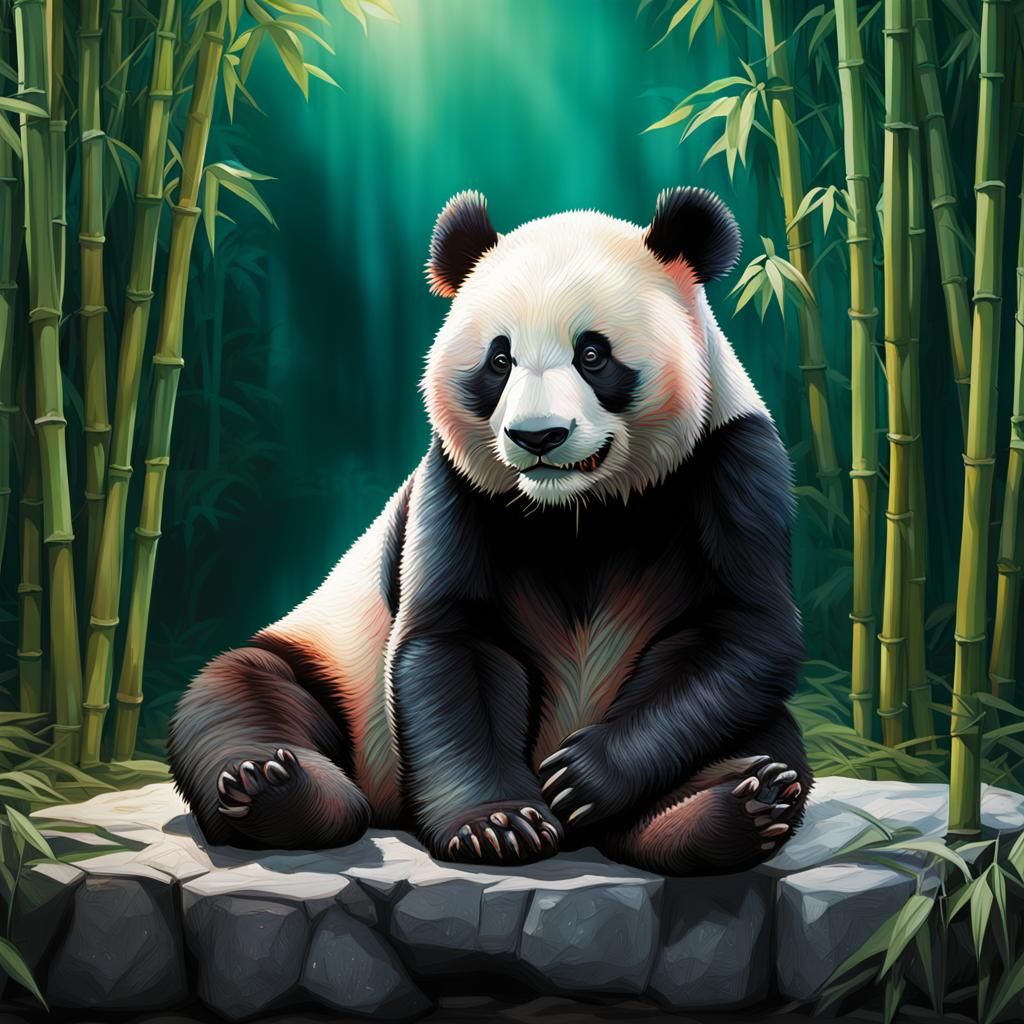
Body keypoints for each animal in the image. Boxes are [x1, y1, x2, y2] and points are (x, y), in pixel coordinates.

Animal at [168, 187, 811, 876]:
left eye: (592, 354)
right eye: (499, 360)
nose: (537, 436)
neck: (578, 509)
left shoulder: (729, 463)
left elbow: (745, 627)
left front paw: (580, 779)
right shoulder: (461, 490)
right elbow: (453, 642)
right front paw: (498, 826)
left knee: (765, 734)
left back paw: (732, 808)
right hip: (335, 672)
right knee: (240, 695)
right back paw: (277, 790)